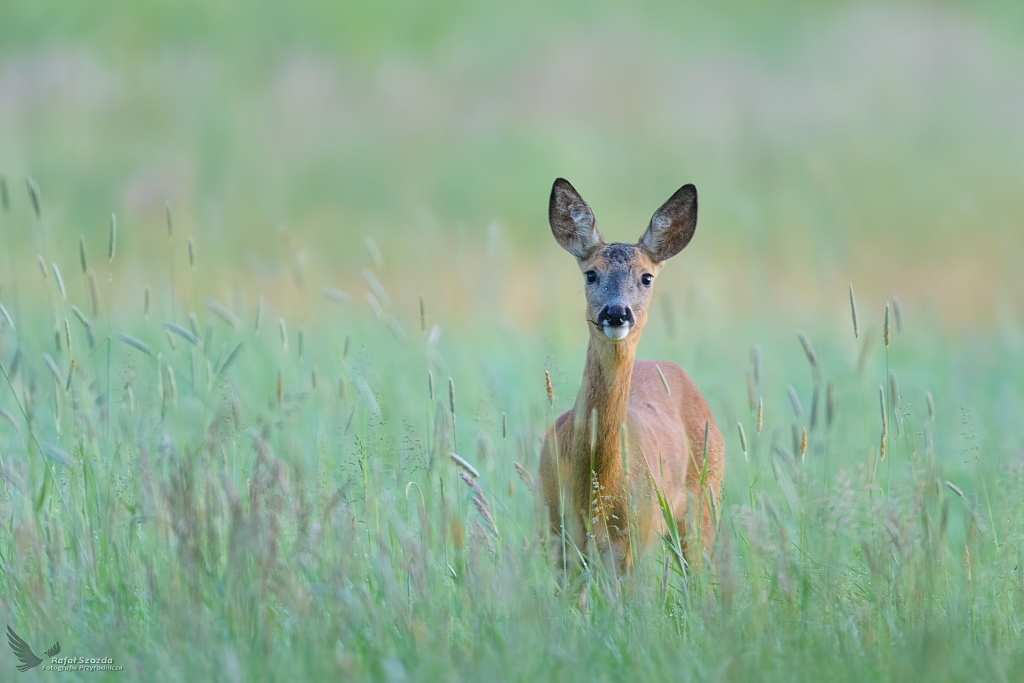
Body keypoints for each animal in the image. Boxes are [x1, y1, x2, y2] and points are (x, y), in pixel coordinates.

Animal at [540, 178, 724, 581]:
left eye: (646, 277)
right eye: (591, 273)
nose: (616, 312)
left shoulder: (631, 545)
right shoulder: (556, 538)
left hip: (703, 502)